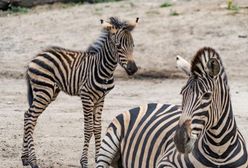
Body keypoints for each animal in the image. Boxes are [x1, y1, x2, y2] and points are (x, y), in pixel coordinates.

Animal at [21, 16, 140, 168]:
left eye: (133, 45)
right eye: (118, 46)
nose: (133, 69)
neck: (103, 68)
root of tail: (35, 57)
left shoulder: (100, 98)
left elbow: (97, 127)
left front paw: (98, 157)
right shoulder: (86, 96)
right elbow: (88, 128)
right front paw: (84, 161)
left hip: (49, 93)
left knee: (28, 116)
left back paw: (25, 158)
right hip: (44, 91)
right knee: (30, 118)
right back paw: (34, 161)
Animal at [96, 46, 247, 167]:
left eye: (206, 95)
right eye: (182, 93)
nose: (179, 140)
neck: (219, 152)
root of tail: (148, 103)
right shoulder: (166, 161)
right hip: (109, 144)